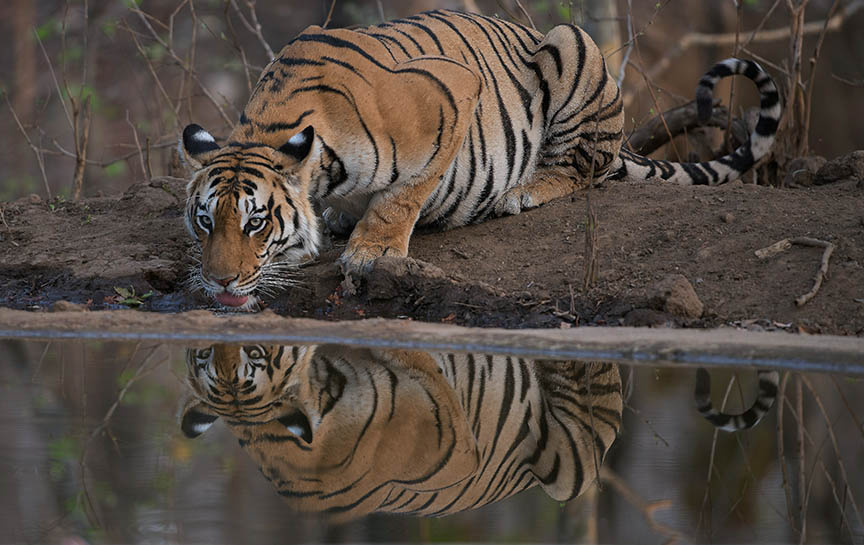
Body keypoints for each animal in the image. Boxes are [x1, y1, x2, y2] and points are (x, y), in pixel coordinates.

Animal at [179, 9, 781, 308]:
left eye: (256, 223)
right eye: (205, 221)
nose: (219, 283)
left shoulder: (450, 93)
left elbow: (403, 195)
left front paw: (372, 250)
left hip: (572, 44)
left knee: (584, 168)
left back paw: (524, 191)